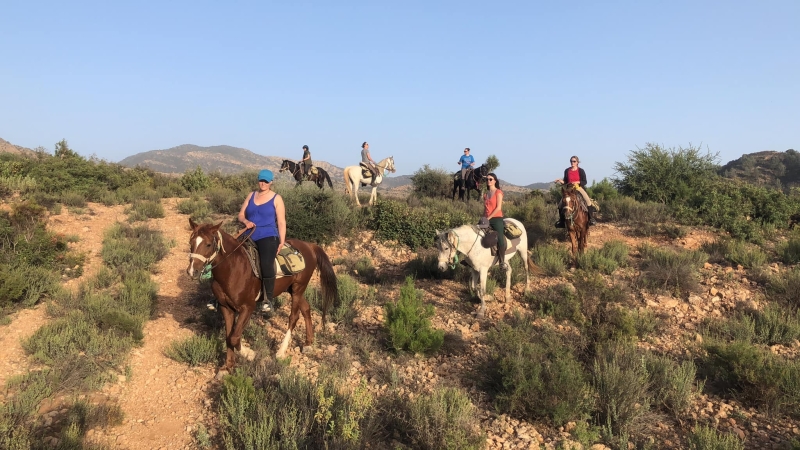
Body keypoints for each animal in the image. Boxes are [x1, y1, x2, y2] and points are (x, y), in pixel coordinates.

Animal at [187, 217, 338, 370]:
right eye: (191, 242)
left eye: (208, 244)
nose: (192, 271)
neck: (232, 268)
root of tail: (310, 246)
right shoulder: (226, 308)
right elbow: (228, 337)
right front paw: (228, 367)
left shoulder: (248, 307)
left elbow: (234, 338)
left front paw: (249, 353)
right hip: (292, 289)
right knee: (306, 308)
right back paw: (308, 343)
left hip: (298, 289)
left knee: (294, 317)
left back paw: (281, 351)